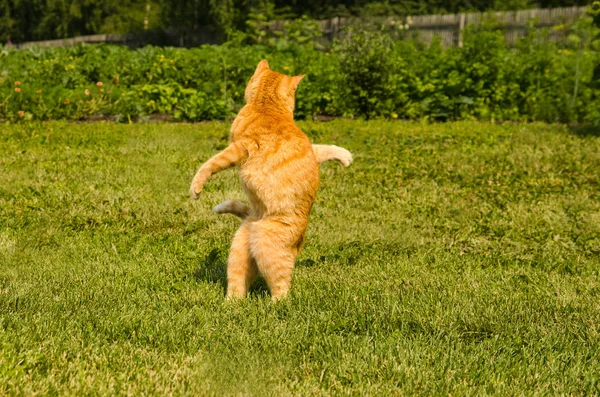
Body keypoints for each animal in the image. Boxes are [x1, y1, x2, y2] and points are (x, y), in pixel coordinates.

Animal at [190, 60, 352, 298]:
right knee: (238, 284)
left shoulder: (240, 147)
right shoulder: (309, 150)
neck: (268, 107)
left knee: (281, 287)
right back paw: (230, 303)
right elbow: (322, 149)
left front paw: (196, 187)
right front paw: (344, 156)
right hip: (239, 250)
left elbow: (210, 164)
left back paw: (275, 303)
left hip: (267, 248)